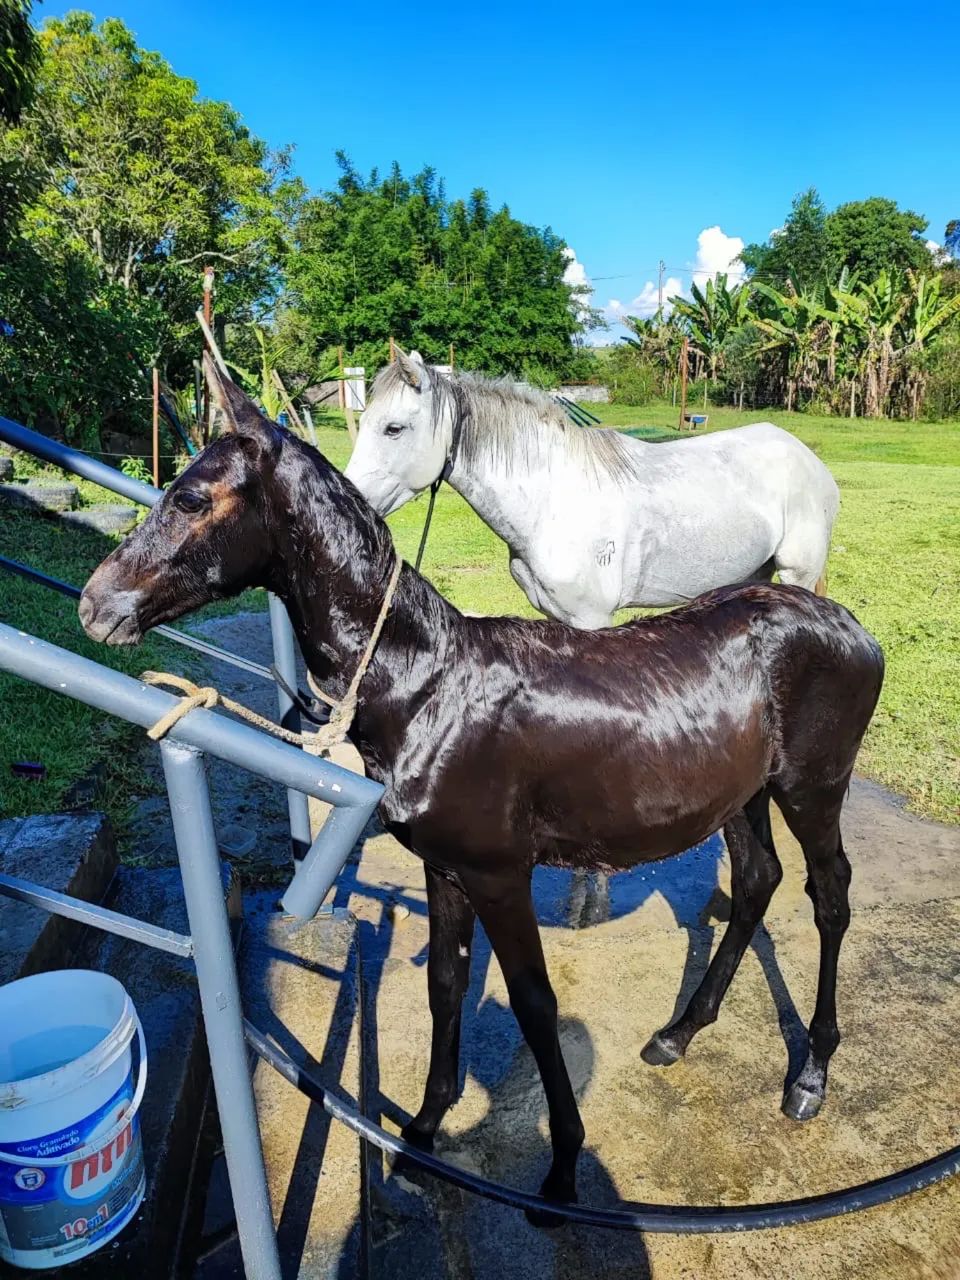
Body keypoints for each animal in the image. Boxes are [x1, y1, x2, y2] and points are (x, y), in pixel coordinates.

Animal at [345, 349, 841, 628]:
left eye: (393, 428)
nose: (352, 499)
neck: (551, 501)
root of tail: (810, 461)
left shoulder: (592, 619)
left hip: (796, 573)